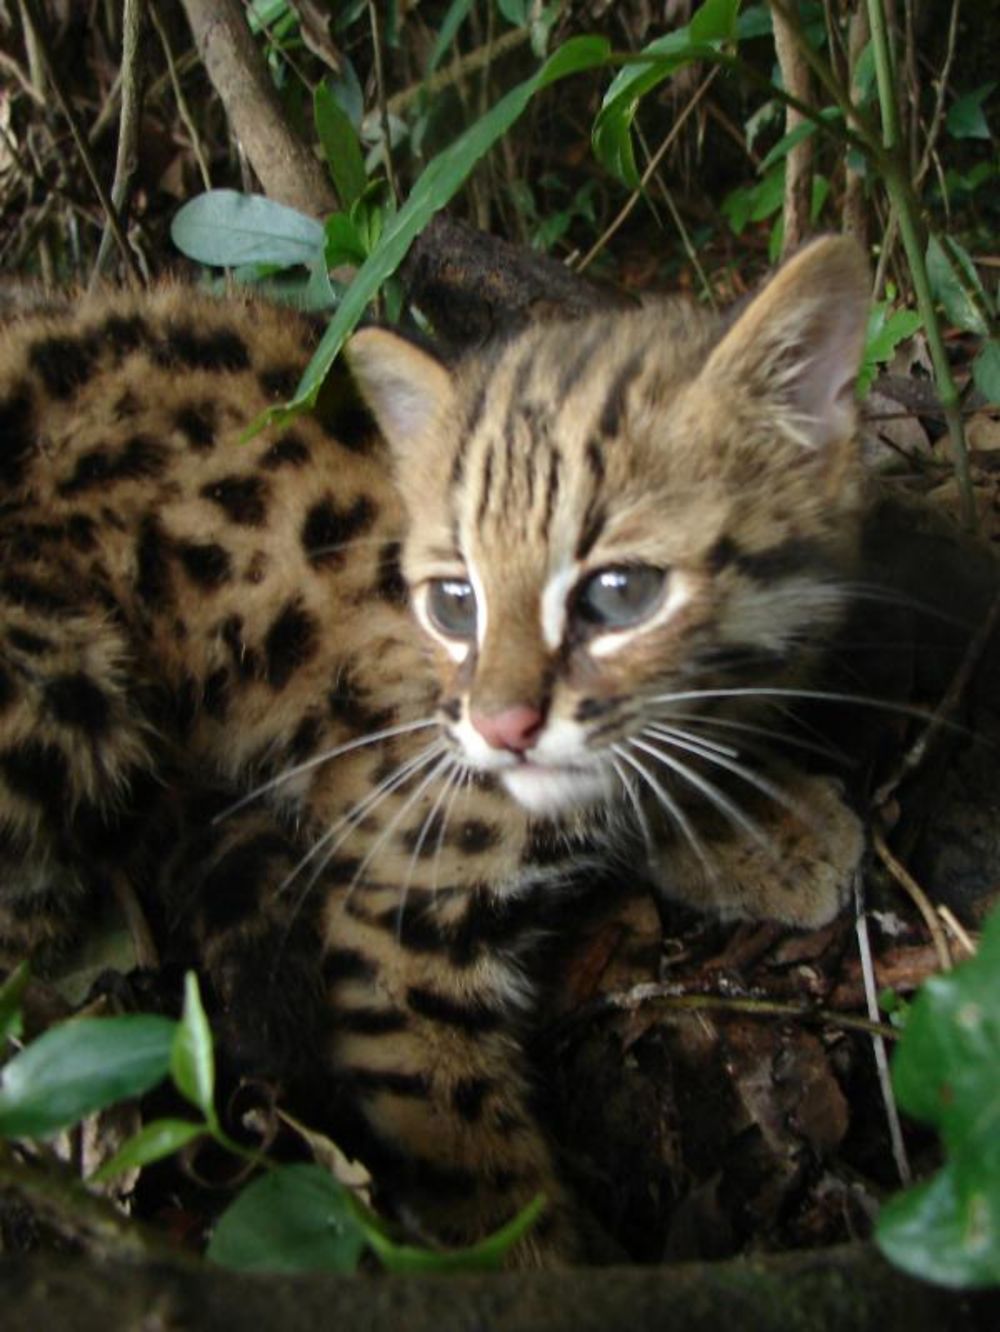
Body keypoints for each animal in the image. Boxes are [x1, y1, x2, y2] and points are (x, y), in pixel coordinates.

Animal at [0, 234, 868, 1262]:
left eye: (620, 593)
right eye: (456, 602)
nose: (501, 726)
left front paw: (764, 824)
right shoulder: (394, 903)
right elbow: (468, 1149)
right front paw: (535, 1263)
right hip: (57, 682)